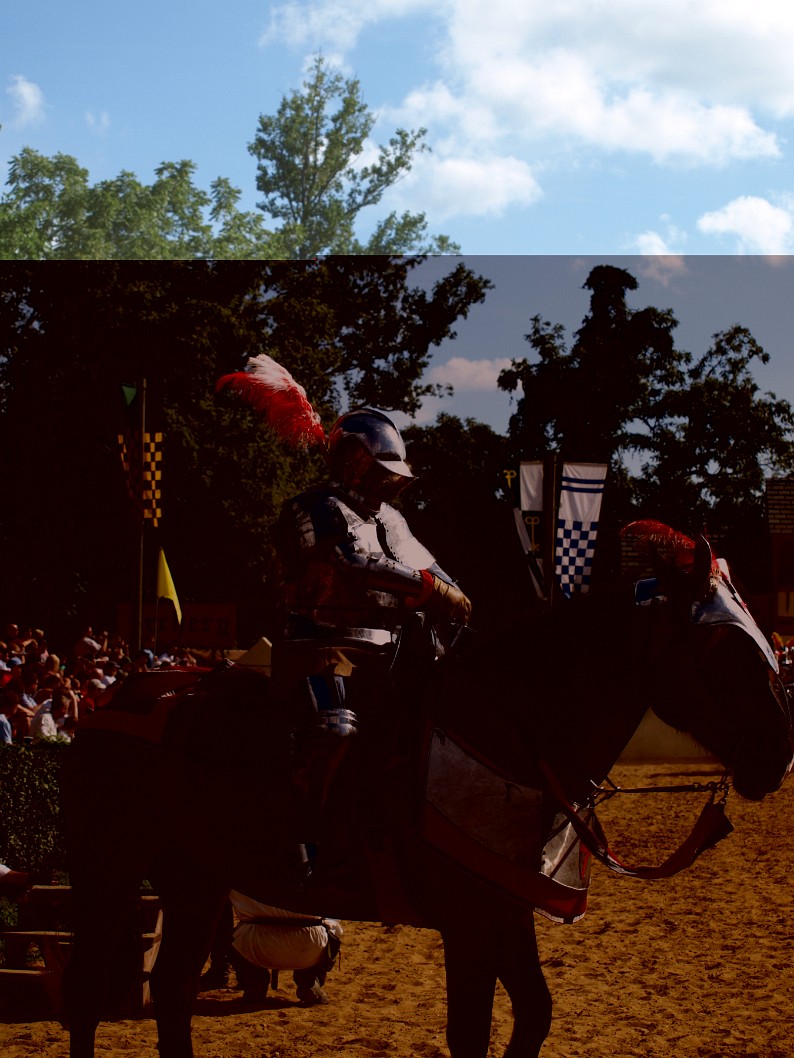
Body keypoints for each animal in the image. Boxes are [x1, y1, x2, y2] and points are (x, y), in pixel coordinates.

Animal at [60, 529, 791, 1058]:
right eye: (724, 645)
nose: (780, 753)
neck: (507, 730)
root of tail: (109, 701)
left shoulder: (505, 912)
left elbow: (534, 1015)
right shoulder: (467, 924)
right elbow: (470, 1034)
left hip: (195, 879)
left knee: (171, 990)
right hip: (109, 870)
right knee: (89, 994)